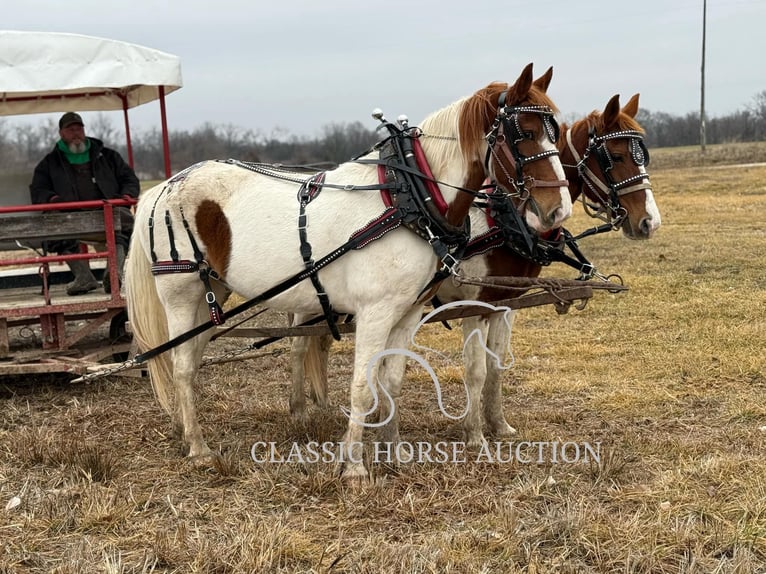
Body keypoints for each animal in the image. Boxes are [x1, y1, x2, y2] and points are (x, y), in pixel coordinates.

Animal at [126, 62, 572, 476]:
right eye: (524, 133)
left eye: (556, 134)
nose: (558, 211)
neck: (411, 199)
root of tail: (162, 188)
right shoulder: (377, 312)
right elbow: (362, 385)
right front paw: (354, 466)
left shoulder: (409, 313)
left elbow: (392, 381)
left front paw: (395, 452)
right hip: (181, 294)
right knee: (182, 365)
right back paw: (198, 446)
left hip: (213, 292)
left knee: (193, 357)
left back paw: (185, 430)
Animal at [292, 91, 664, 450]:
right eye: (615, 157)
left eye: (641, 156)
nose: (649, 222)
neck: (505, 218)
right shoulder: (474, 306)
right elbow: (475, 370)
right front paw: (474, 433)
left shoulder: (505, 304)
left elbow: (496, 366)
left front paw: (498, 424)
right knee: (300, 345)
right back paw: (301, 412)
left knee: (321, 343)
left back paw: (324, 404)